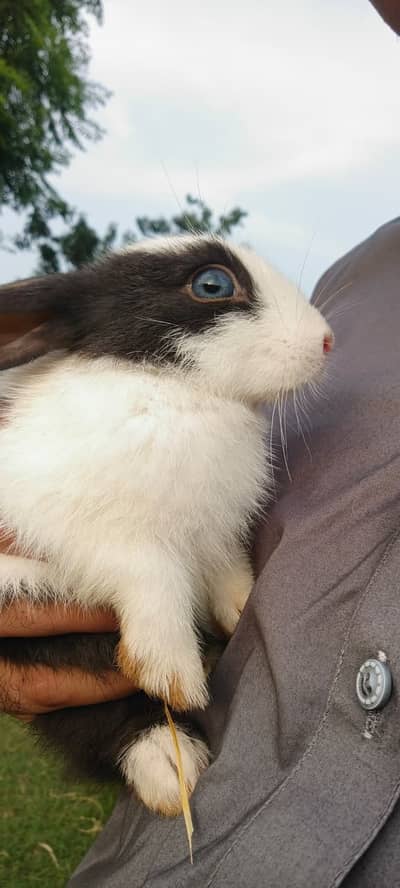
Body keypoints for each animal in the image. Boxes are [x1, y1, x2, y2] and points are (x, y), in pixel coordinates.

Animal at [0, 233, 334, 815]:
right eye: (212, 284)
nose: (326, 341)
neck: (172, 390)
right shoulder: (71, 527)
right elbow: (148, 570)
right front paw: (173, 668)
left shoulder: (215, 534)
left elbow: (225, 572)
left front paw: (240, 611)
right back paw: (167, 762)